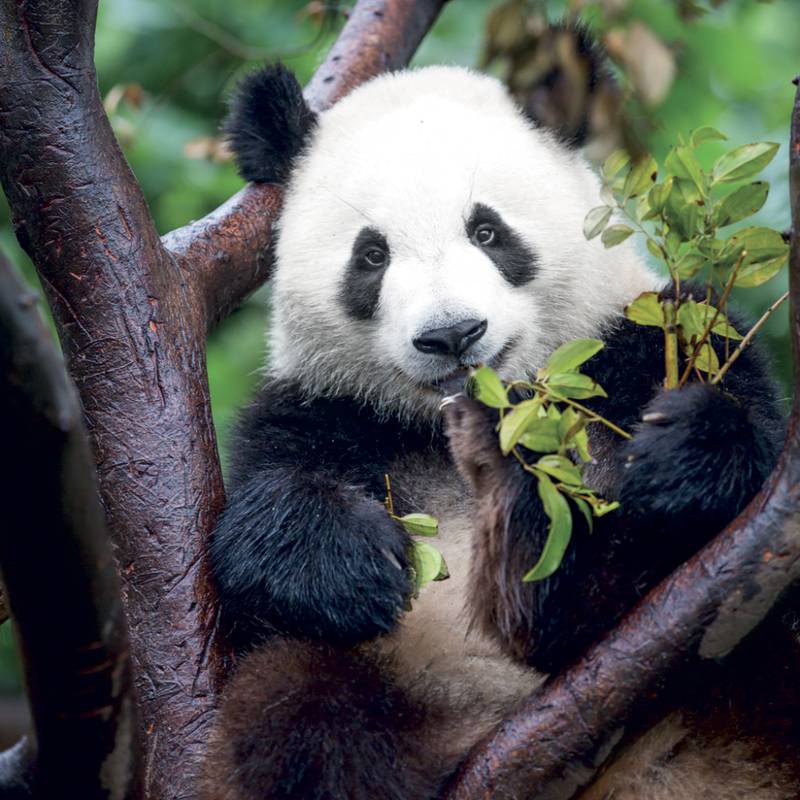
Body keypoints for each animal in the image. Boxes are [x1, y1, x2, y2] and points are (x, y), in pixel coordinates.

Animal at [202, 50, 799, 800]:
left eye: (487, 231)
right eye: (372, 255)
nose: (452, 334)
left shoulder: (644, 341)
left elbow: (742, 428)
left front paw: (678, 454)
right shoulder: (324, 412)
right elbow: (252, 545)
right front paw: (353, 563)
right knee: (299, 708)